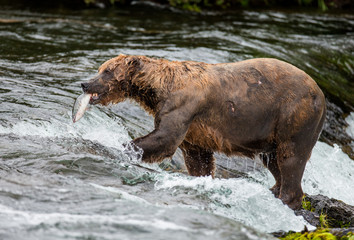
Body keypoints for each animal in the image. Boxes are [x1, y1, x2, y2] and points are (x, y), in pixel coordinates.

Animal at [76, 54, 326, 210]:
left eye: (107, 71)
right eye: (100, 69)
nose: (85, 83)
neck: (157, 90)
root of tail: (321, 93)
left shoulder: (183, 106)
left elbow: (164, 138)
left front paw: (119, 147)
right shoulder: (195, 132)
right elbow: (198, 159)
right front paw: (202, 179)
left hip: (294, 114)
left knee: (290, 157)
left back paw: (285, 199)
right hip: (272, 131)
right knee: (273, 160)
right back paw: (273, 190)